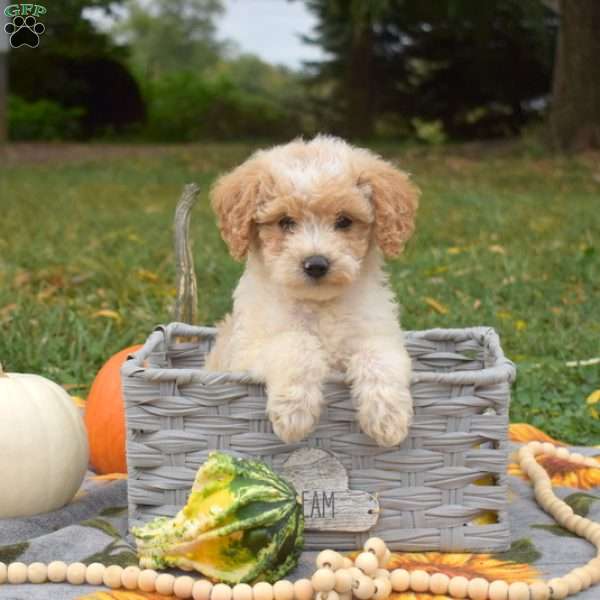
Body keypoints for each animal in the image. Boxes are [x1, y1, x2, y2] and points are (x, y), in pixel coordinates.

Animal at [206, 136, 422, 446]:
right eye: (285, 222)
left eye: (344, 221)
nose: (316, 264)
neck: (319, 305)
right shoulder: (248, 352)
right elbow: (297, 343)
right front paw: (294, 413)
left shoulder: (380, 335)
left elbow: (378, 357)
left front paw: (388, 418)